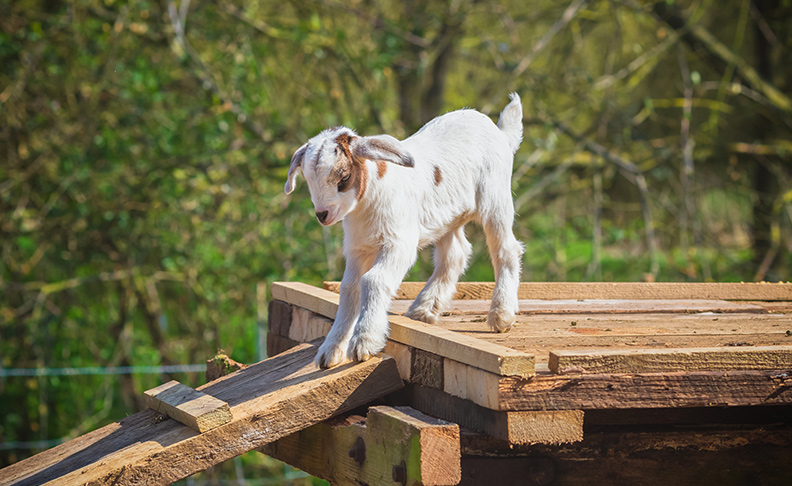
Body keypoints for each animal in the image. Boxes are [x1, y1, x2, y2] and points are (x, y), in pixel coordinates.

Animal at [286, 94, 524, 368]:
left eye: (343, 177)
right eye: (308, 180)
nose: (322, 215)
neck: (370, 196)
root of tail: (500, 132)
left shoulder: (398, 243)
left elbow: (373, 280)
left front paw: (364, 342)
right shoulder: (358, 248)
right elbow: (348, 288)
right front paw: (331, 350)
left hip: (495, 199)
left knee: (505, 249)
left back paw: (501, 315)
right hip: (447, 217)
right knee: (455, 254)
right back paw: (423, 310)